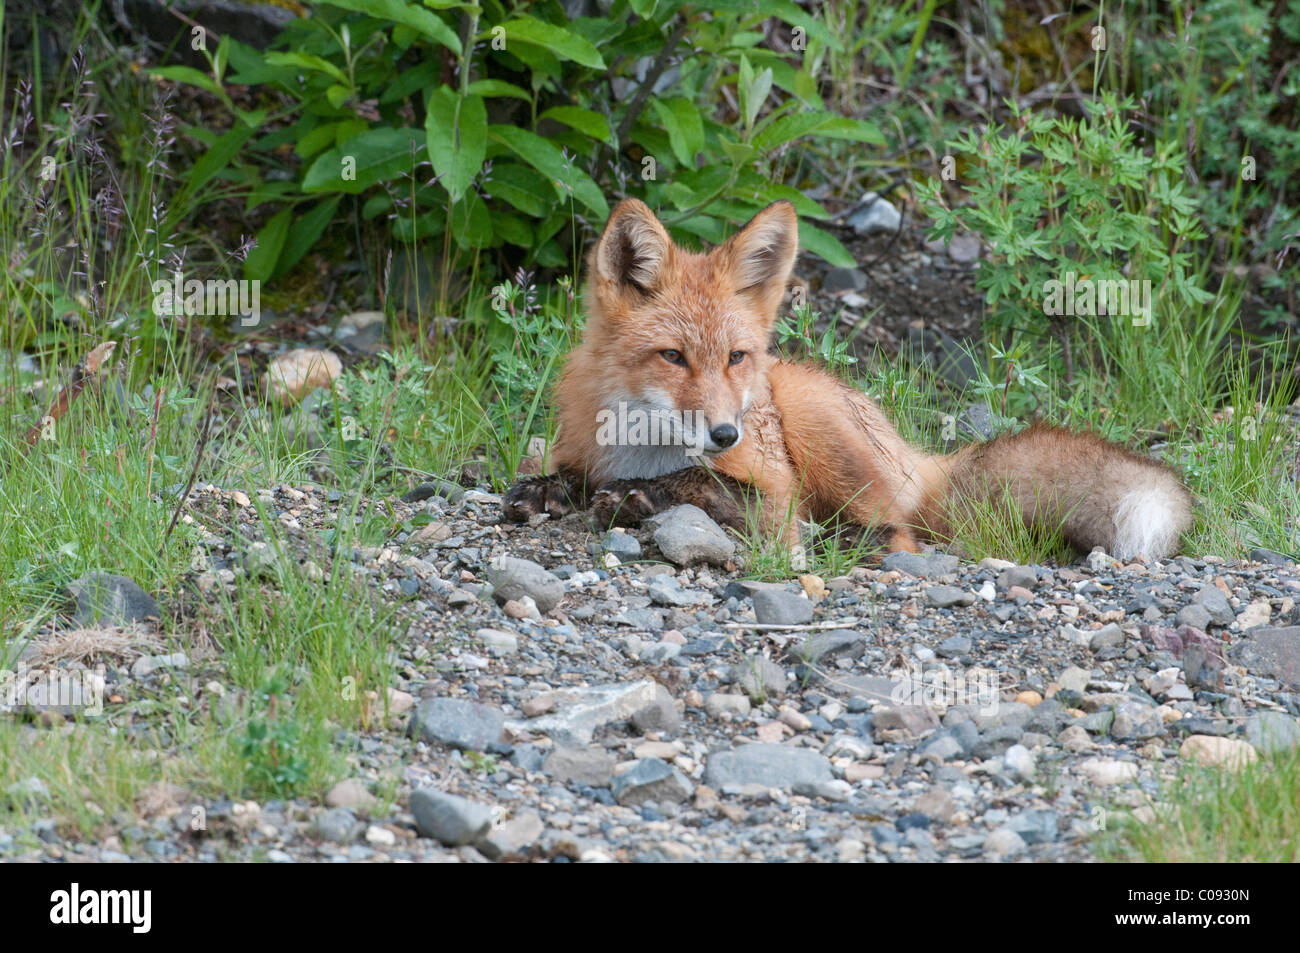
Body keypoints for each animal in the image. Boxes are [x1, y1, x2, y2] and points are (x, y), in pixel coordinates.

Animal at [501, 197, 1190, 561]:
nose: (725, 434)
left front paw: (638, 497)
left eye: (736, 358)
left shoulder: (772, 489)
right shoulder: (583, 447)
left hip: (809, 411)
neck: (643, 448)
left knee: (896, 533)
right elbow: (567, 475)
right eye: (673, 357)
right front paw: (548, 491)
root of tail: (919, 458)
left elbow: (702, 482)